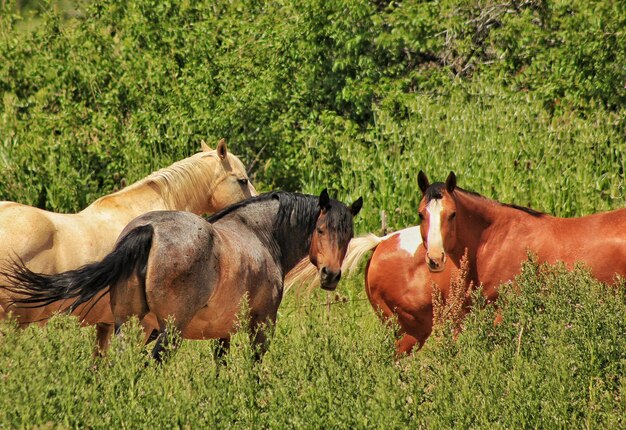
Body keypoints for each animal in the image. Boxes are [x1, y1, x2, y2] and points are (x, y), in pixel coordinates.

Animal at [2, 190, 360, 362]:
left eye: (347, 234)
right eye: (321, 229)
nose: (331, 275)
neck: (258, 232)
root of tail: (148, 229)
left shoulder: (222, 333)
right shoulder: (261, 326)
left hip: (129, 325)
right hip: (167, 332)